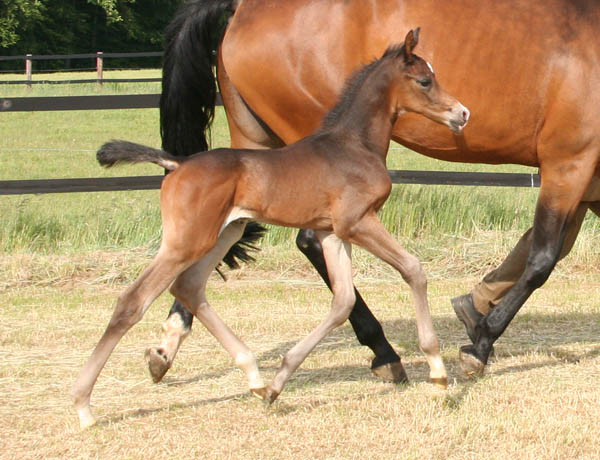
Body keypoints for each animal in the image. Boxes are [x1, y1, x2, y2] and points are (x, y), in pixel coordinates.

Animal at [72, 28, 468, 430]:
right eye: (425, 80)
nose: (462, 113)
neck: (354, 145)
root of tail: (176, 163)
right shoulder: (358, 222)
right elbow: (413, 269)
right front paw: (438, 372)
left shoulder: (331, 233)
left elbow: (343, 301)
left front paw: (280, 382)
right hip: (186, 241)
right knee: (132, 300)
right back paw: (83, 403)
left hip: (225, 232)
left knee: (190, 287)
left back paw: (255, 379)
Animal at [149, 0, 600, 380]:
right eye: (425, 79)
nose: (463, 113)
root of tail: (242, 7)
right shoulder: (568, 162)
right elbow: (542, 259)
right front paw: (480, 346)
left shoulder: (588, 177)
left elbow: (542, 250)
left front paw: (474, 312)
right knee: (309, 239)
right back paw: (383, 351)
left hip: (253, 150)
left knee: (216, 237)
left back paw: (168, 343)